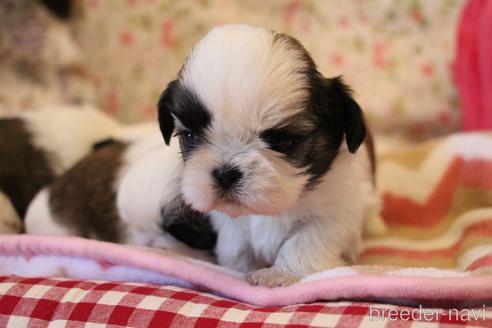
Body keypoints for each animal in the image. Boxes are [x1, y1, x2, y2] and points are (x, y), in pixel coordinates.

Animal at [158, 24, 380, 288]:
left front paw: (281, 273)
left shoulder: (336, 210)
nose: (225, 174)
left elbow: (307, 240)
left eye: (282, 141)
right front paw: (236, 268)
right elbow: (235, 243)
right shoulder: (230, 223)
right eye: (190, 136)